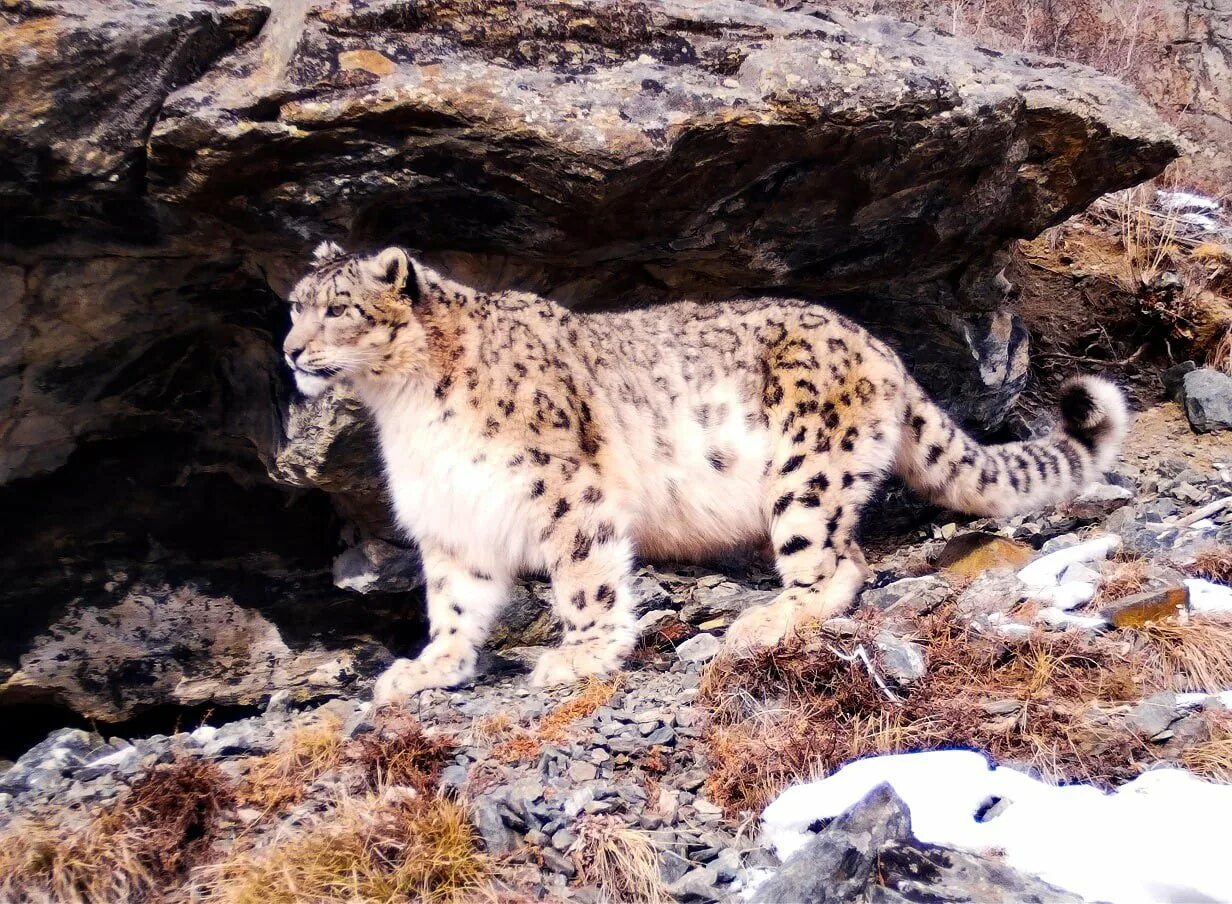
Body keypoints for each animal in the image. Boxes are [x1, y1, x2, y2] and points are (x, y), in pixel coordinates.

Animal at [283, 243, 1128, 704]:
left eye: (340, 309)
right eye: (293, 305)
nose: (291, 351)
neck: (404, 407)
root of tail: (880, 348)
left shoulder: (566, 492)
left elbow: (585, 576)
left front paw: (583, 651)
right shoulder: (451, 516)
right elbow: (456, 603)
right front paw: (430, 668)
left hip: (804, 470)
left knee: (835, 560)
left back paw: (765, 620)